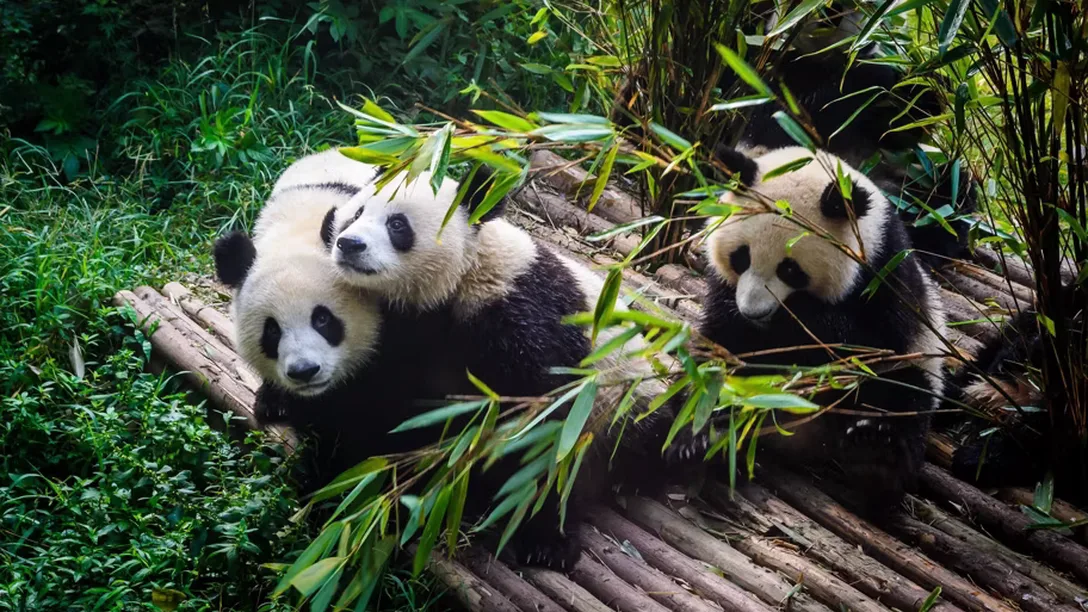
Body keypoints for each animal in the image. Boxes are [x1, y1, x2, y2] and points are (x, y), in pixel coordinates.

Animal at [321, 165, 681, 569]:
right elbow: (385, 404)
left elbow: (544, 428)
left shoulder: (524, 315)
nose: (349, 244)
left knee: (651, 433)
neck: (464, 277)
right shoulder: (406, 333)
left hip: (629, 394)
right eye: (356, 213)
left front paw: (545, 541)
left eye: (397, 224)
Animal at [702, 145, 948, 510]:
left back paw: (874, 459)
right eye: (741, 257)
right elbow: (721, 340)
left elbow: (865, 345)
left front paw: (802, 320)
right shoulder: (723, 294)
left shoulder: (886, 278)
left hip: (915, 369)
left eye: (790, 269)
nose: (753, 310)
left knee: (902, 396)